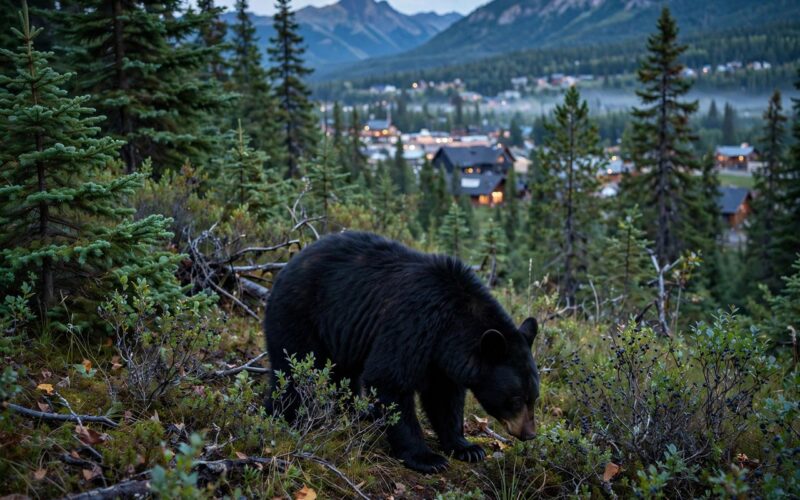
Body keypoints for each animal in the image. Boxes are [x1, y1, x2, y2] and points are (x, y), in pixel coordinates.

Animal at [263, 231, 540, 473]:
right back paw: (284, 418)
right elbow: (389, 379)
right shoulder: (414, 324)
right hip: (299, 316)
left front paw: (467, 447)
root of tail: (285, 266)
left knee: (345, 375)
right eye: (515, 399)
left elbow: (444, 397)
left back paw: (358, 412)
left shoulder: (440, 356)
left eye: (534, 397)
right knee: (293, 371)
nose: (529, 434)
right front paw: (427, 458)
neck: (453, 322)